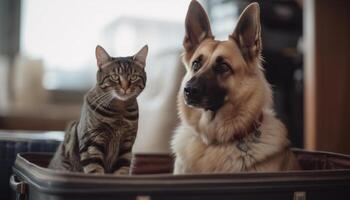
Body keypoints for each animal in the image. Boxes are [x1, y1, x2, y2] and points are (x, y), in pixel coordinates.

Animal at [48, 44, 147, 175]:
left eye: (134, 77)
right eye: (115, 77)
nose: (125, 87)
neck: (119, 111)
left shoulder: (126, 146)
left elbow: (121, 170)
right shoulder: (91, 142)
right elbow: (95, 170)